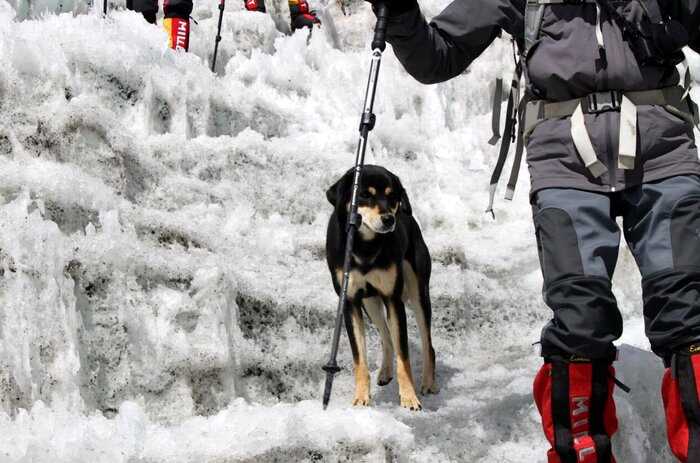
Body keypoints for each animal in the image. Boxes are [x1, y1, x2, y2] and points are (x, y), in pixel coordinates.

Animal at [324, 165, 434, 412]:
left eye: (392, 196)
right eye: (365, 194)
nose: (388, 220)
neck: (364, 246)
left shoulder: (394, 299)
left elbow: (404, 357)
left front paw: (409, 398)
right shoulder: (350, 302)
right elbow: (360, 359)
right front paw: (361, 398)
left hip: (419, 293)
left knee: (427, 343)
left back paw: (429, 383)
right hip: (370, 303)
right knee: (386, 335)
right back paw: (384, 372)